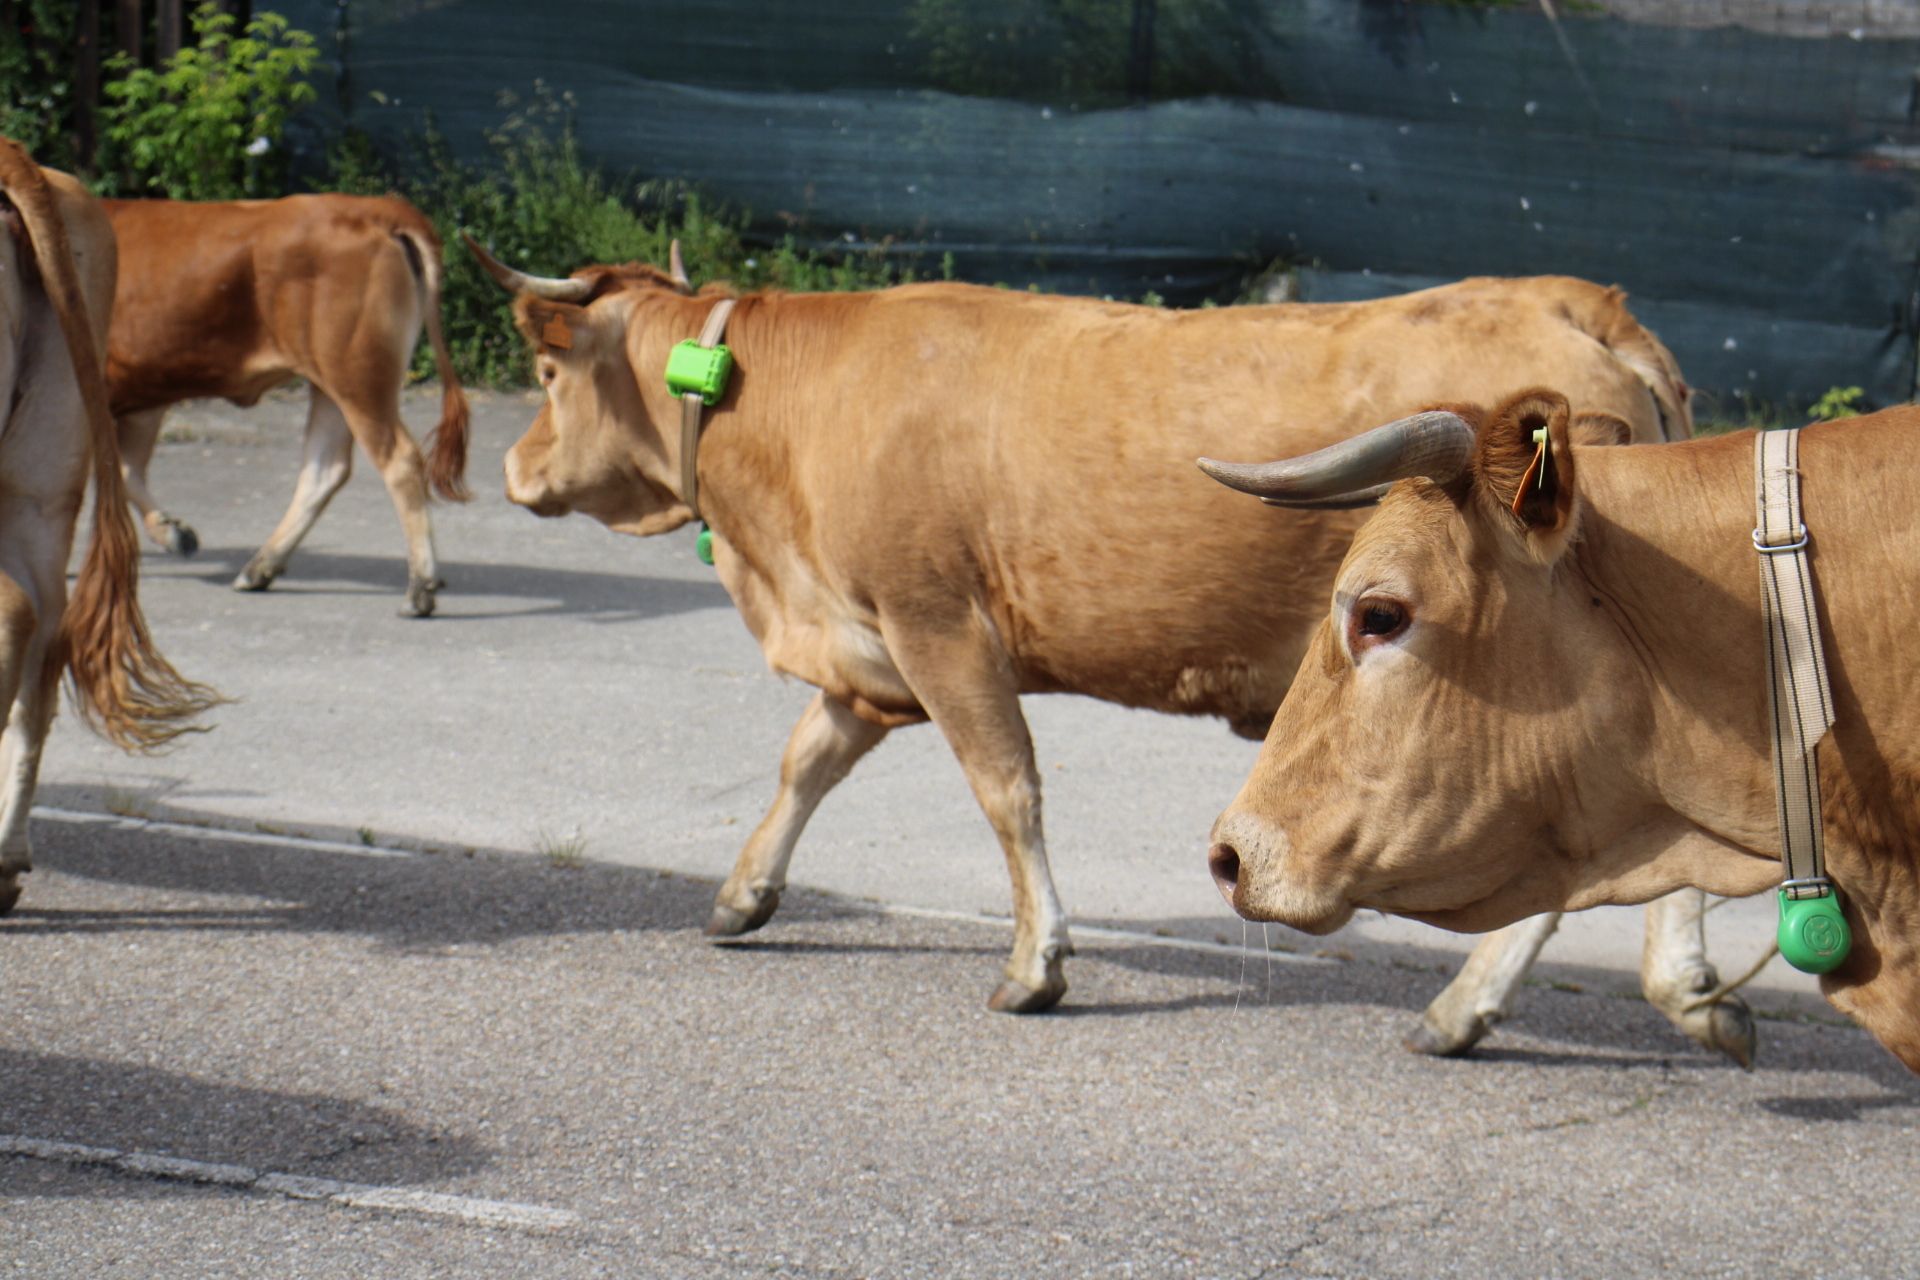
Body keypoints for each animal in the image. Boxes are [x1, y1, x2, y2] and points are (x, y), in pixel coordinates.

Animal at [109, 195, 476, 621]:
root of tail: (376, 206)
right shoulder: (143, 390)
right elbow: (127, 470)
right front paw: (173, 532)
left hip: (356, 380)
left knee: (399, 461)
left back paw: (419, 587)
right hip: (332, 385)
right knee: (324, 469)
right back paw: (259, 567)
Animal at [468, 245, 1758, 1059]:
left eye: (546, 371)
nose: (513, 467)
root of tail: (1577, 299)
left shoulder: (937, 618)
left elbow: (1007, 787)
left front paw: (1038, 961)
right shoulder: (872, 647)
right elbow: (805, 760)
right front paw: (744, 893)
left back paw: (1477, 1006)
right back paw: (1675, 992)